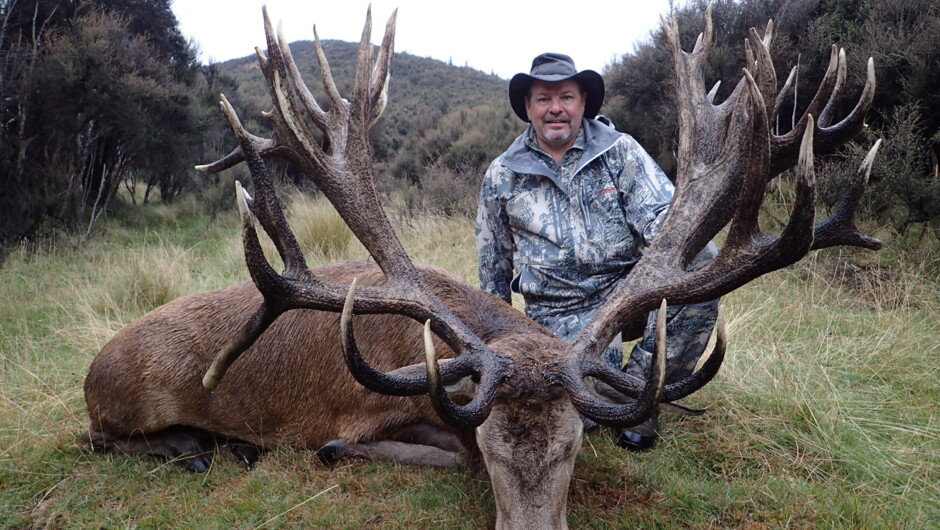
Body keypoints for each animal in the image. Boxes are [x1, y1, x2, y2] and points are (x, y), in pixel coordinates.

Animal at [83, 4, 882, 528]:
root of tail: (92, 369)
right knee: (103, 438)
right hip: (121, 403)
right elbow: (353, 446)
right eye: (492, 447)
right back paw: (198, 446)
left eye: (573, 447)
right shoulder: (359, 415)